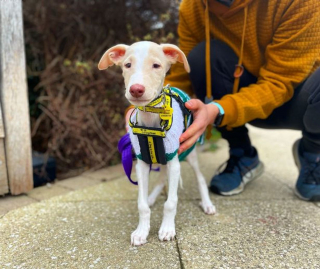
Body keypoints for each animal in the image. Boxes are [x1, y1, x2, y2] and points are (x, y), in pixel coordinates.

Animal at [99, 41, 216, 245]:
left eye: (156, 65)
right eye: (127, 65)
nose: (136, 89)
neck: (151, 121)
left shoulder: (174, 162)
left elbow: (171, 202)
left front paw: (167, 229)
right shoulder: (142, 164)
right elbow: (142, 204)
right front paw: (141, 231)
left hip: (190, 154)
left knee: (200, 178)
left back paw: (207, 204)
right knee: (161, 180)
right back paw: (152, 197)